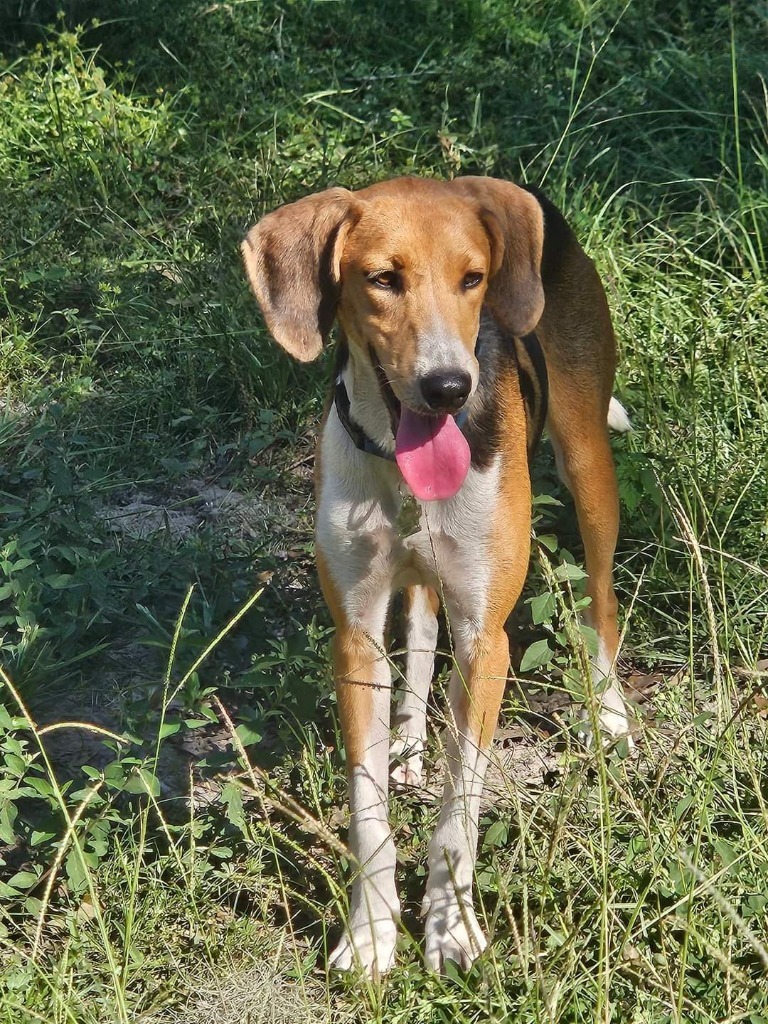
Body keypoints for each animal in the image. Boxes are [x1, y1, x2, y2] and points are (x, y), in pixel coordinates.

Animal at [243, 174, 634, 974]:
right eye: (382, 280)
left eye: (473, 279)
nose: (450, 386)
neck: (400, 461)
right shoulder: (355, 638)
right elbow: (368, 814)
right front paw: (370, 934)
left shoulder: (488, 639)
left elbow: (459, 814)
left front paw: (451, 931)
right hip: (424, 577)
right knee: (421, 636)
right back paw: (409, 743)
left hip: (587, 467)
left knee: (602, 600)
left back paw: (610, 718)